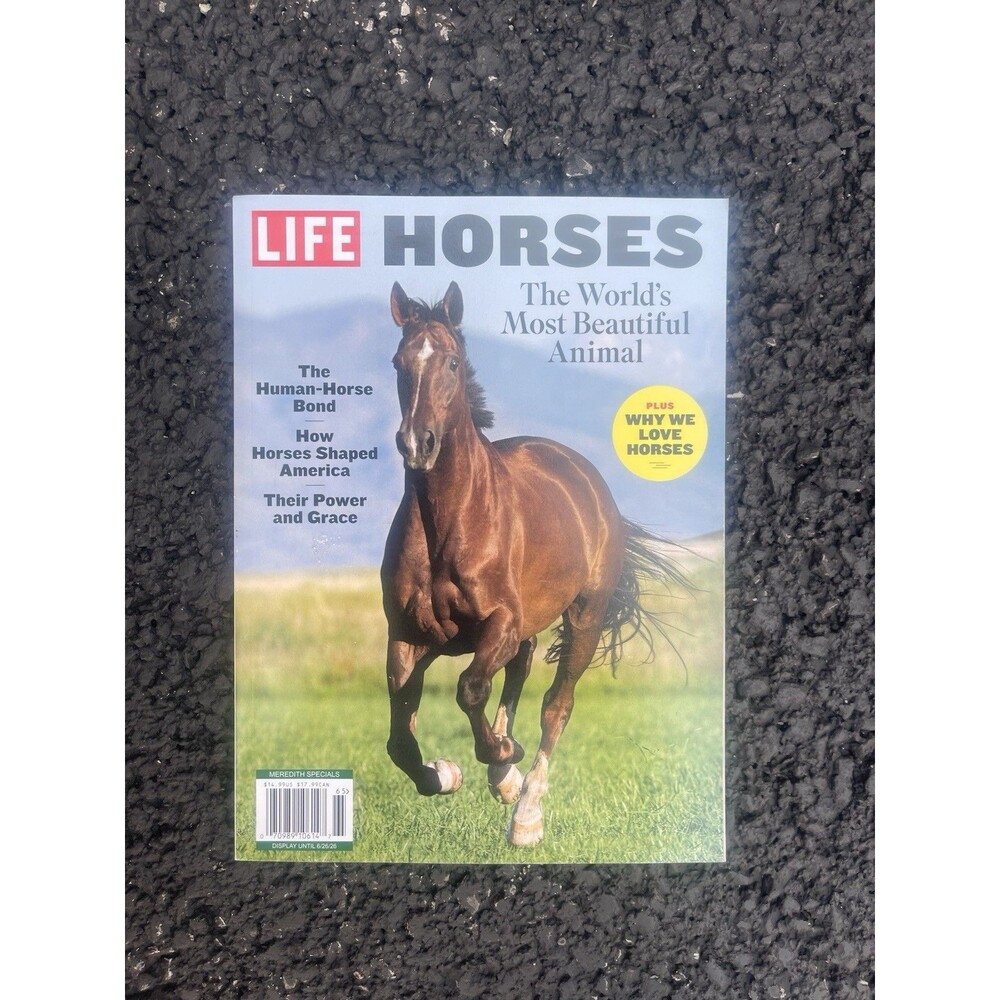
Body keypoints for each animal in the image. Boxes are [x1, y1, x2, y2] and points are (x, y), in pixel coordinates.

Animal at [380, 281, 688, 847]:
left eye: (452, 361)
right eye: (398, 362)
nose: (417, 443)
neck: (448, 523)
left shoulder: (499, 623)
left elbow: (470, 689)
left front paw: (504, 764)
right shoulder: (408, 636)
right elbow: (400, 741)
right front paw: (448, 773)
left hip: (584, 617)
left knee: (555, 706)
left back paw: (524, 811)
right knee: (518, 673)